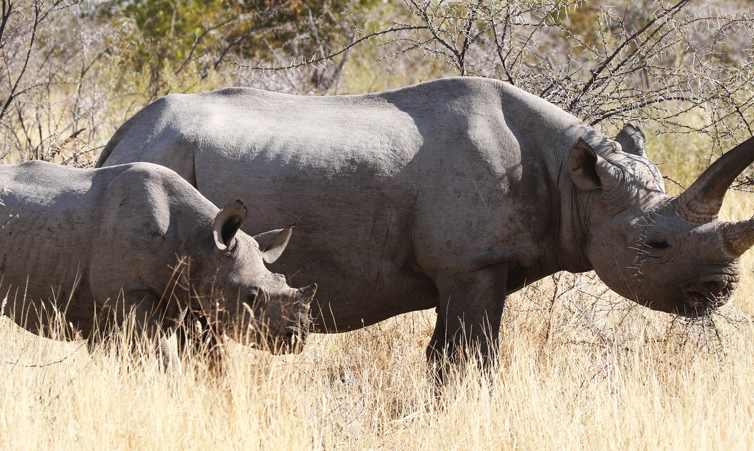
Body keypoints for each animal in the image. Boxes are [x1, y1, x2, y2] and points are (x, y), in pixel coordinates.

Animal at [0, 161, 317, 363]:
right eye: (251, 296)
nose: (297, 336)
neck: (200, 243)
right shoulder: (130, 290)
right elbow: (159, 355)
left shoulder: (177, 291)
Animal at [96, 77, 754, 366]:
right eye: (657, 244)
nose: (721, 288)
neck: (578, 185)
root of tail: (121, 136)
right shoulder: (472, 263)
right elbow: (472, 357)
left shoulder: (469, 267)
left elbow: (446, 356)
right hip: (165, 155)